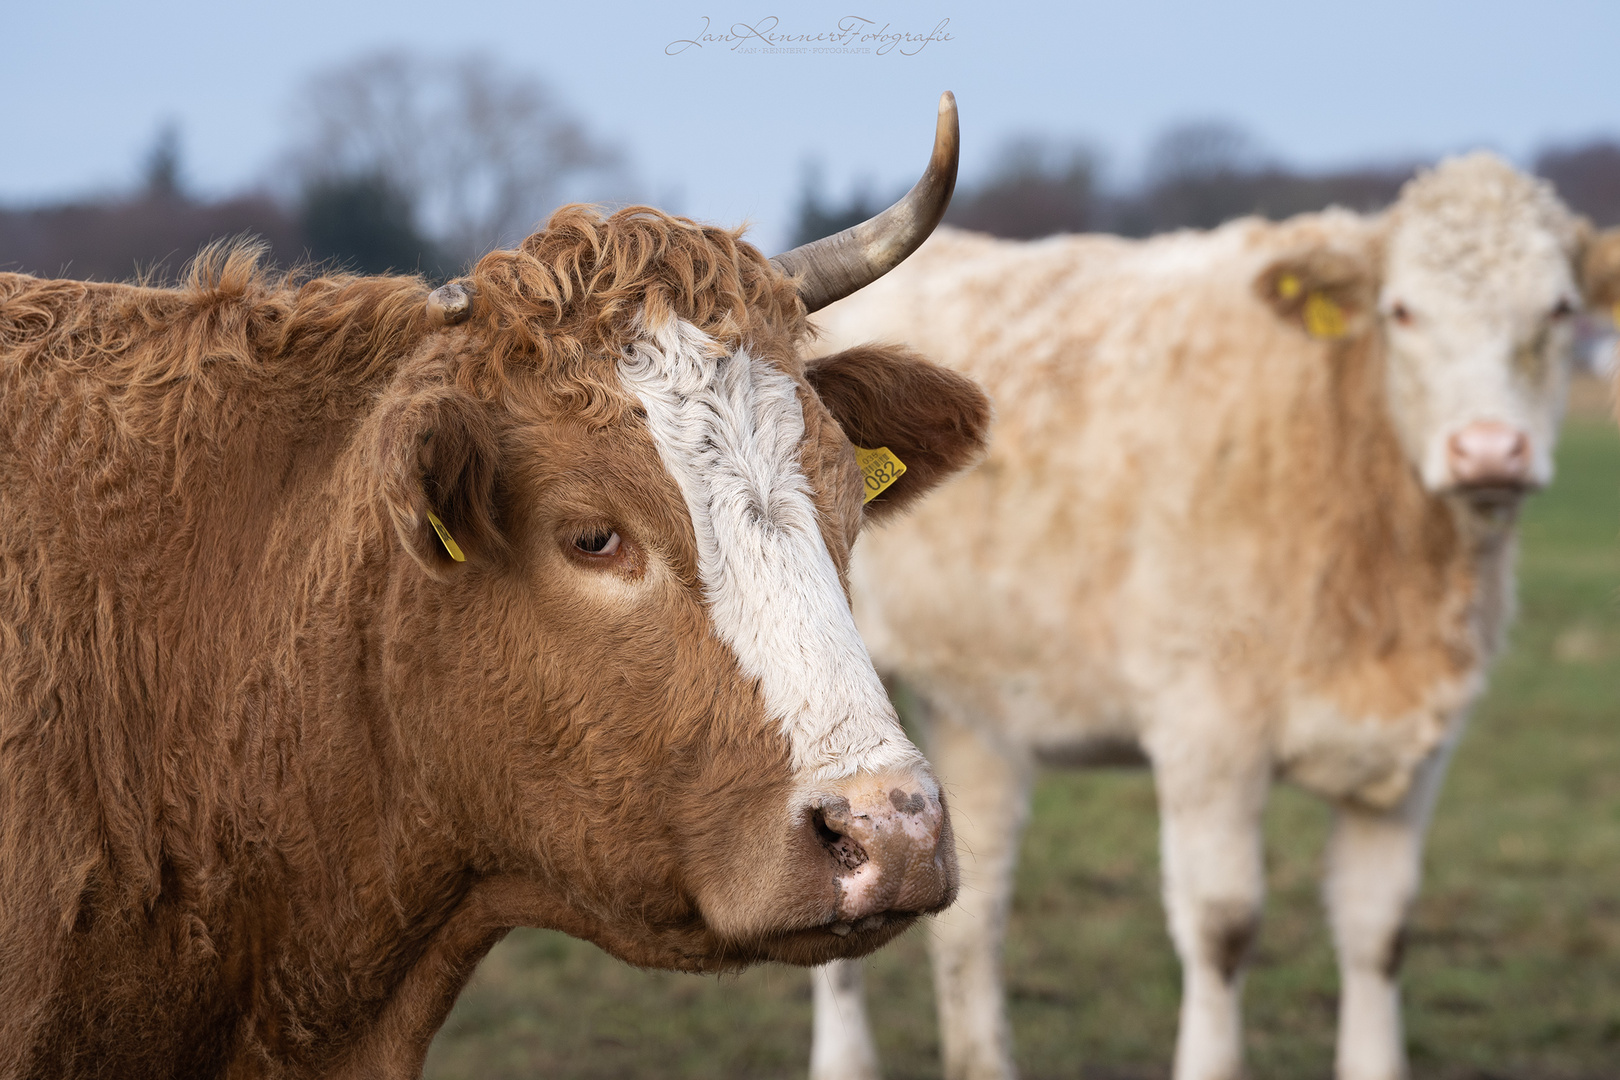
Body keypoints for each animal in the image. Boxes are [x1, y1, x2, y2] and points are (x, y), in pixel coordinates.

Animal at [806, 153, 1620, 1080]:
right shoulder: (1207, 727)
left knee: (975, 912)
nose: (1489, 451)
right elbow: (1223, 928)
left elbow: (1380, 934)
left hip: (971, 707)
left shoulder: (1416, 757)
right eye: (1403, 310)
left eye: (1560, 310)